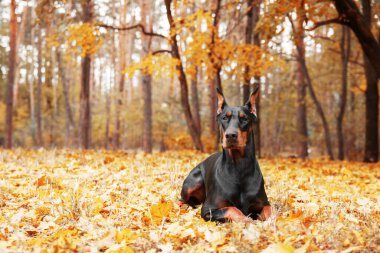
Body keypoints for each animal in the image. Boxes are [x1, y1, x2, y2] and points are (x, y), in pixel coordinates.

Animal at [179, 88, 270, 222]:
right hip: (193, 182)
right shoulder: (208, 209)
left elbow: (269, 212)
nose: (231, 135)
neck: (239, 166)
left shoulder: (264, 203)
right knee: (181, 200)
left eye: (244, 118)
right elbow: (233, 209)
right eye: (224, 118)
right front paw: (247, 220)